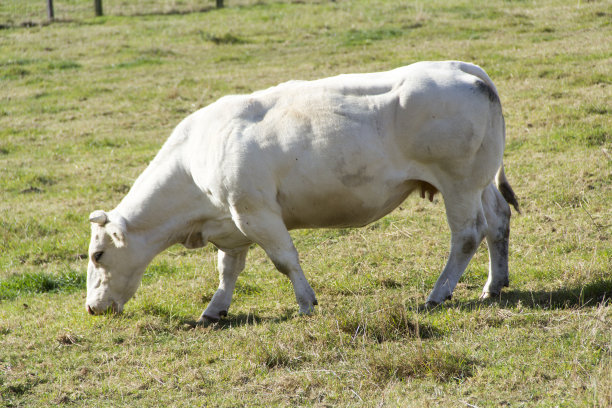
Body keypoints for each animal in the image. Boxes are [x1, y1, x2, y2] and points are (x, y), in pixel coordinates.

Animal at [85, 60, 516, 322]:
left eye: (97, 254)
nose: (91, 308)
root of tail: (463, 69)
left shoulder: (255, 213)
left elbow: (284, 260)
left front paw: (307, 302)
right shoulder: (233, 222)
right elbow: (228, 269)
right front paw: (214, 309)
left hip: (458, 182)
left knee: (467, 235)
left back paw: (438, 294)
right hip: (479, 181)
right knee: (497, 221)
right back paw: (493, 286)